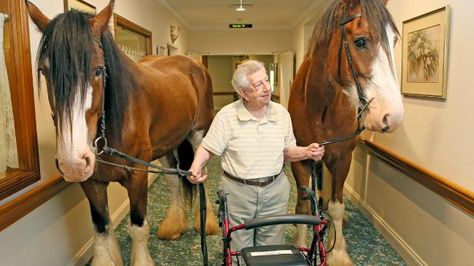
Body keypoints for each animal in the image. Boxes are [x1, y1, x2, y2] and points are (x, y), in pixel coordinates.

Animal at [25, 0, 218, 264]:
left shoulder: (137, 174)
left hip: (198, 135)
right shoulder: (91, 182)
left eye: (98, 69)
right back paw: (173, 225)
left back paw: (206, 224)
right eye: (45, 70)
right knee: (173, 180)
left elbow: (138, 227)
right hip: (167, 145)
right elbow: (101, 228)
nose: (73, 163)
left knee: (201, 174)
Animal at [288, 0, 404, 264]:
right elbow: (302, 205)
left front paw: (338, 252)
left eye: (393, 41)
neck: (320, 106)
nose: (393, 116)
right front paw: (301, 243)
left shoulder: (342, 158)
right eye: (360, 41)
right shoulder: (299, 159)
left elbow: (337, 207)